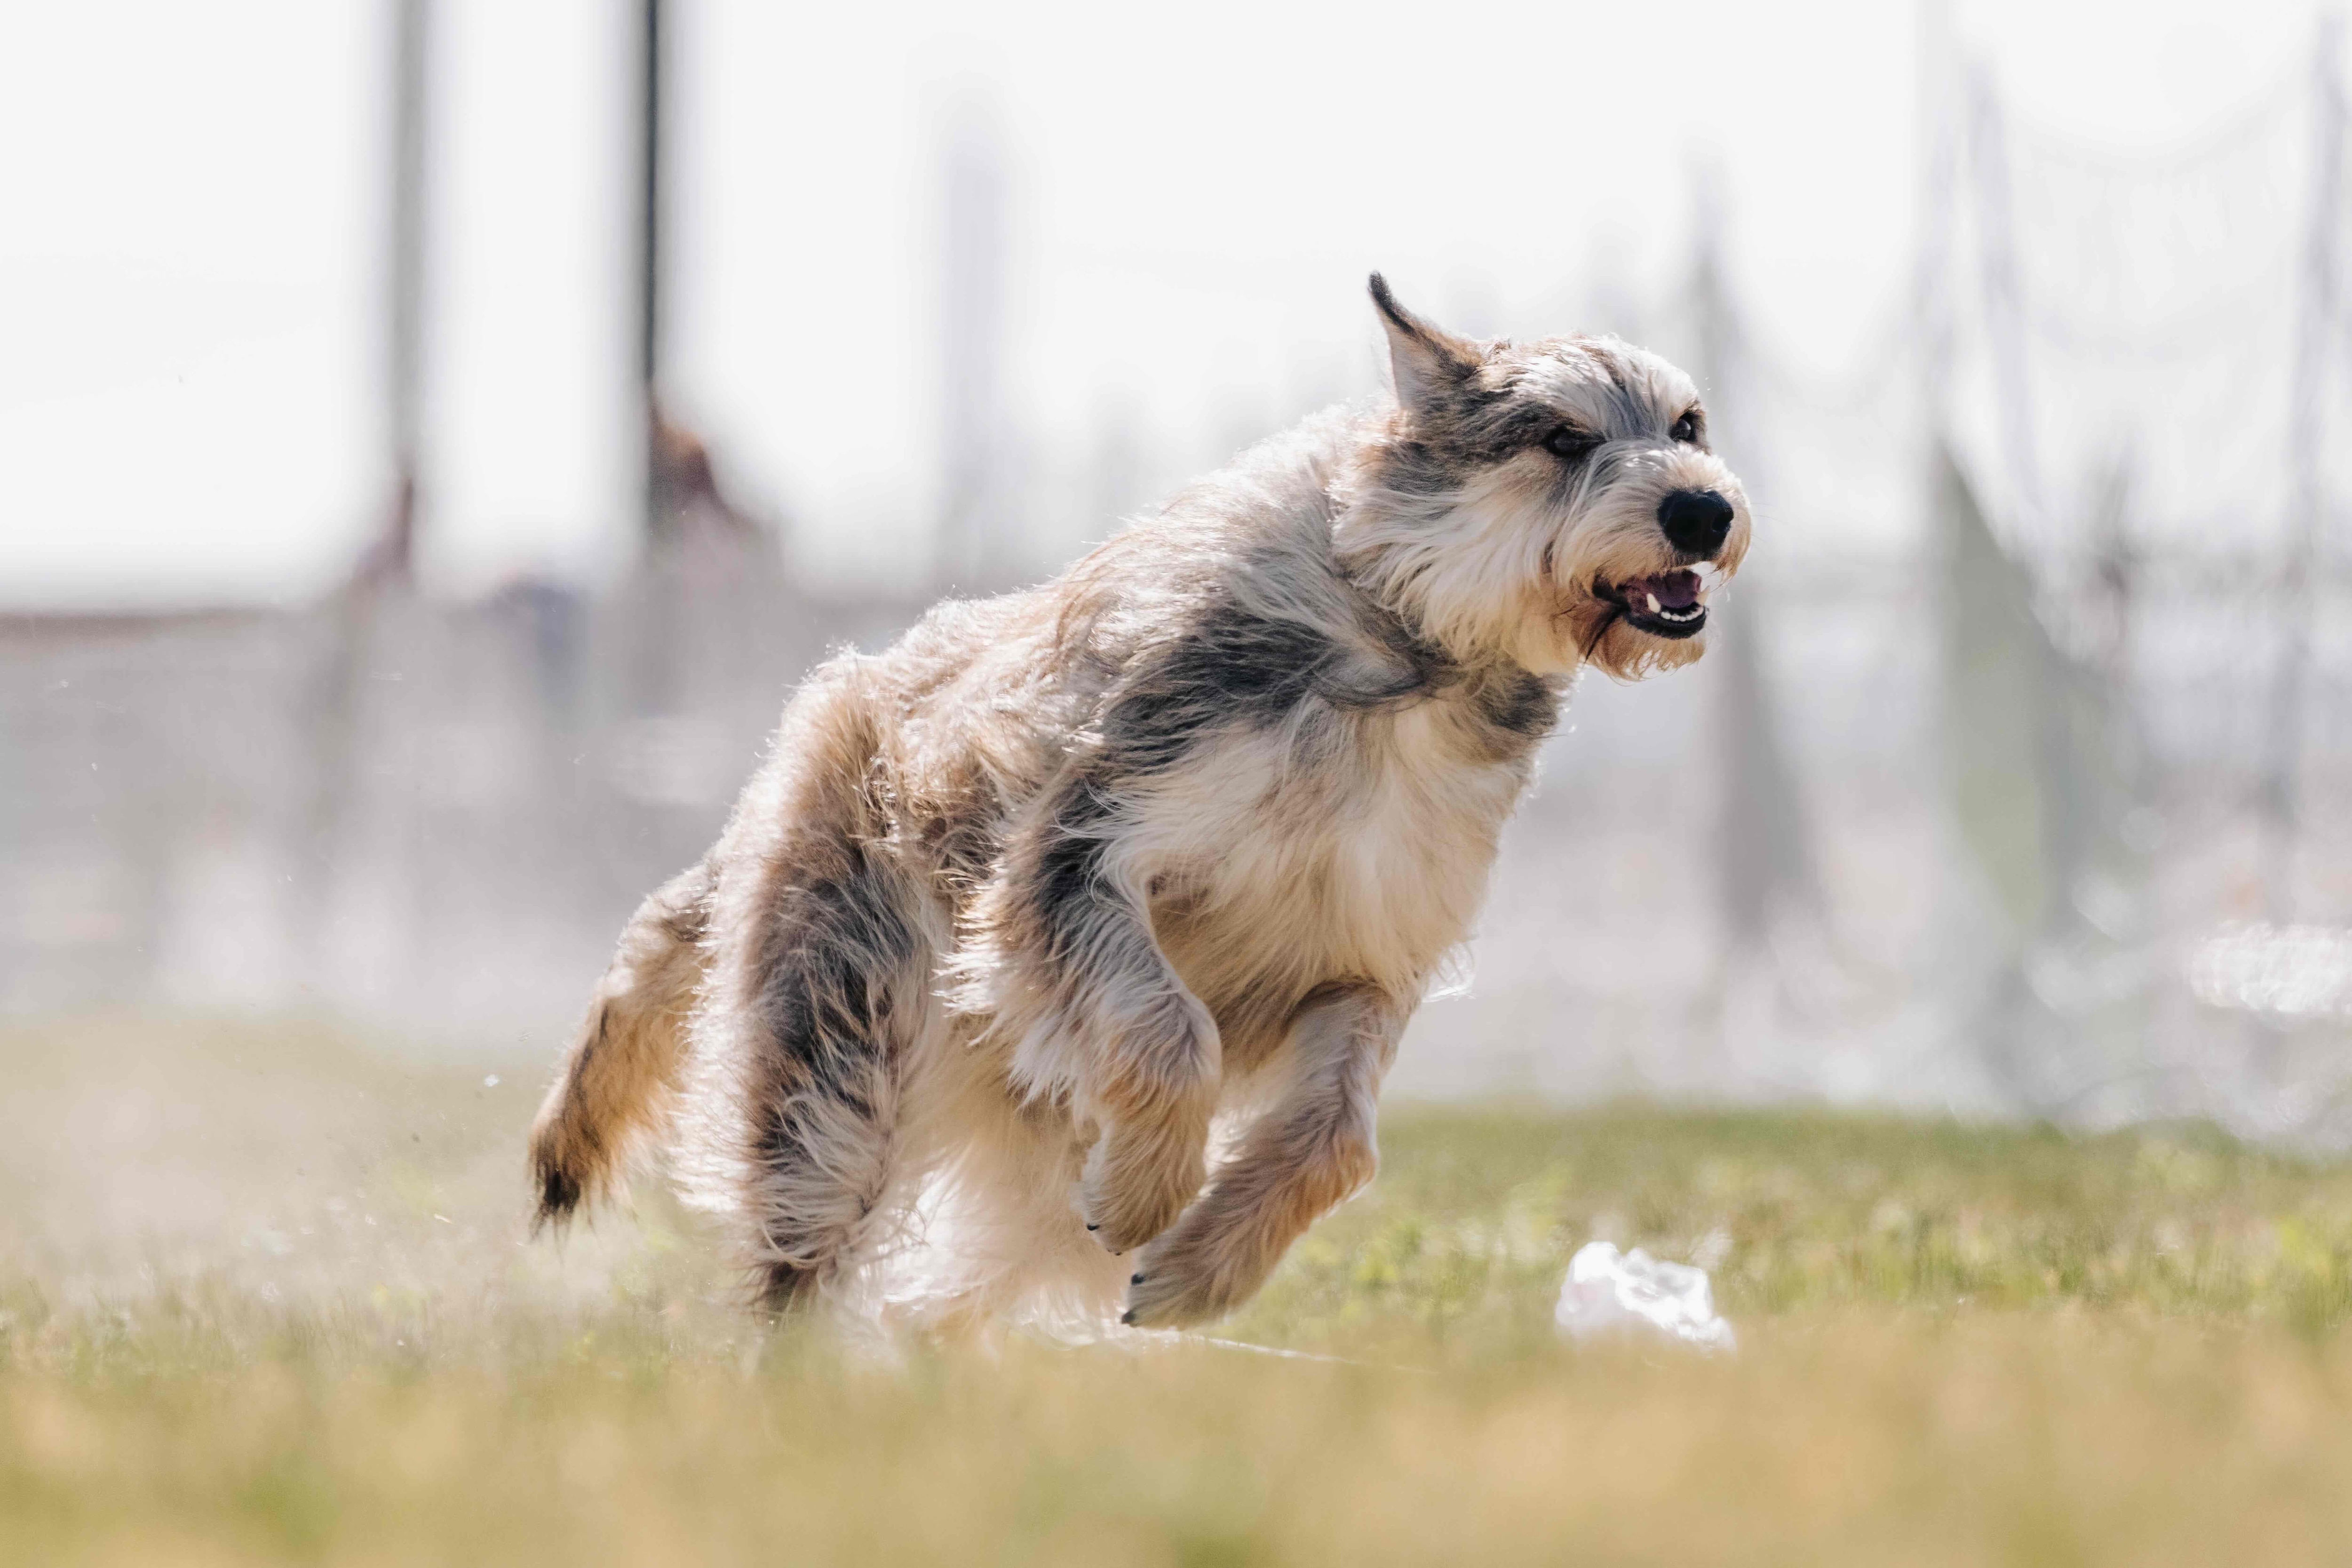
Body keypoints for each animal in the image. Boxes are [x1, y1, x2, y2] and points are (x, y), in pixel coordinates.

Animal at [534, 276, 1750, 1335]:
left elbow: (1338, 1140)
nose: (1704, 508)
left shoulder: (1366, 959)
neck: (1406, 650)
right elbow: (1170, 1032)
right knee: (806, 1259)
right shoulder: (1081, 848)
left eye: (1689, 423)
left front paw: (1205, 1262)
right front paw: (1151, 1186)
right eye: (1561, 437)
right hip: (841, 1068)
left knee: (933, 1301)